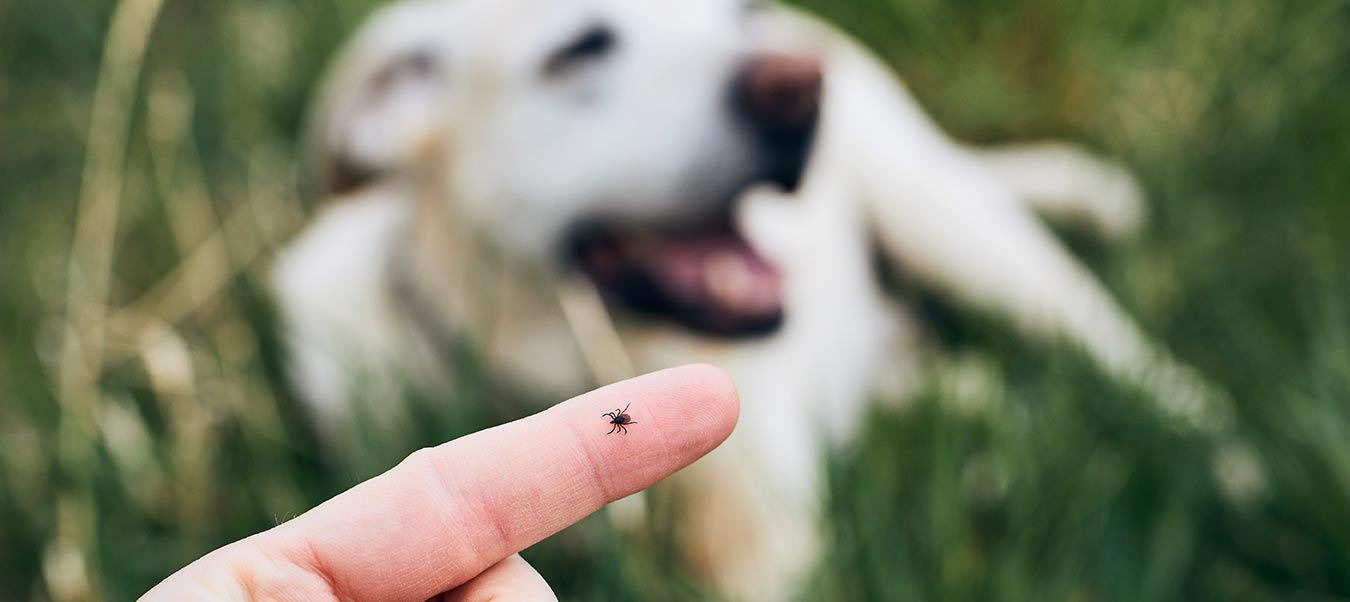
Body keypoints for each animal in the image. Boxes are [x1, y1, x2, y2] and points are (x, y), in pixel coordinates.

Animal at [271, 0, 1225, 593]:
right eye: (579, 49)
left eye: (738, 13)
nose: (798, 86)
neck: (559, 360)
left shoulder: (772, 550)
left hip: (956, 229)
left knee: (1140, 368)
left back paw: (1231, 467)